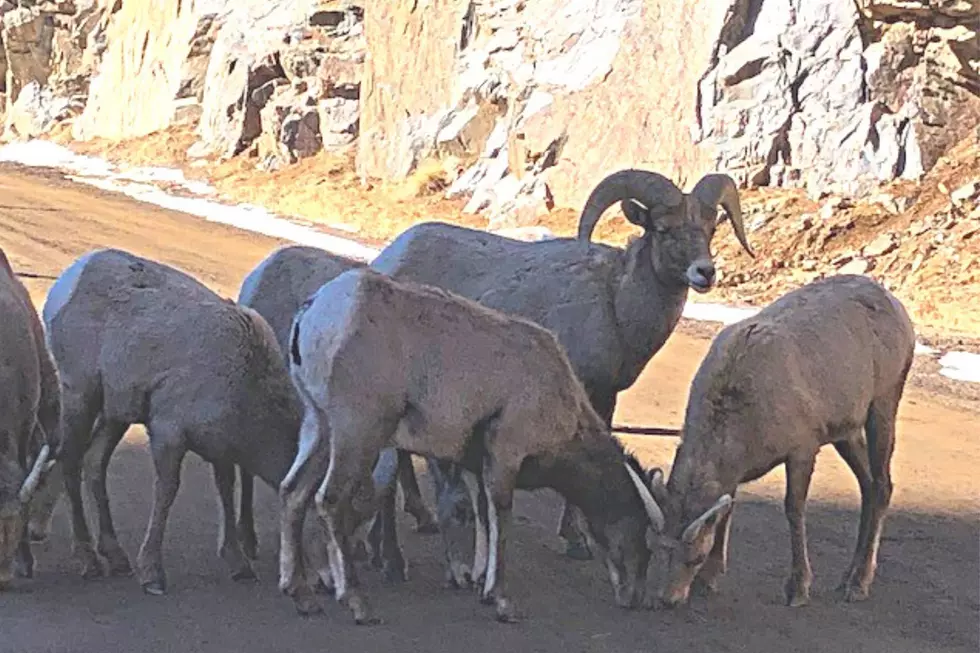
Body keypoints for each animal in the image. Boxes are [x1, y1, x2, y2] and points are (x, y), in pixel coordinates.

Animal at [43, 247, 306, 592]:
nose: (317, 583)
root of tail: (71, 277)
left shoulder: (220, 449)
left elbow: (226, 489)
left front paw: (239, 564)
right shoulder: (169, 434)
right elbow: (167, 491)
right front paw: (152, 574)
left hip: (116, 413)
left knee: (94, 462)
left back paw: (117, 556)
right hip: (81, 395)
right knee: (70, 461)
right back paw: (89, 560)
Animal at [284, 268, 668, 624]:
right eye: (641, 534)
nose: (634, 597)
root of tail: (316, 311)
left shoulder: (479, 465)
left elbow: (483, 515)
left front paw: (479, 580)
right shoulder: (505, 455)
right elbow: (501, 515)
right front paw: (500, 600)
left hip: (319, 427)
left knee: (293, 492)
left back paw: (301, 595)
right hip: (357, 435)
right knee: (330, 500)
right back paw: (357, 603)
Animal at [372, 167, 756, 560]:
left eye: (710, 230)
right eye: (664, 229)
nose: (704, 273)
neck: (615, 303)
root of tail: (389, 257)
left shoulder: (606, 395)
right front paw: (577, 541)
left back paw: (424, 517)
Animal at [648, 274, 916, 608]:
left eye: (695, 557)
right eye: (654, 547)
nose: (667, 599)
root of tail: (899, 309)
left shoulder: (803, 448)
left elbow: (793, 509)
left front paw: (798, 589)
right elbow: (727, 511)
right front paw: (710, 579)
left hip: (883, 403)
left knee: (882, 485)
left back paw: (859, 584)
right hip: (846, 431)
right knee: (867, 485)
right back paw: (846, 578)